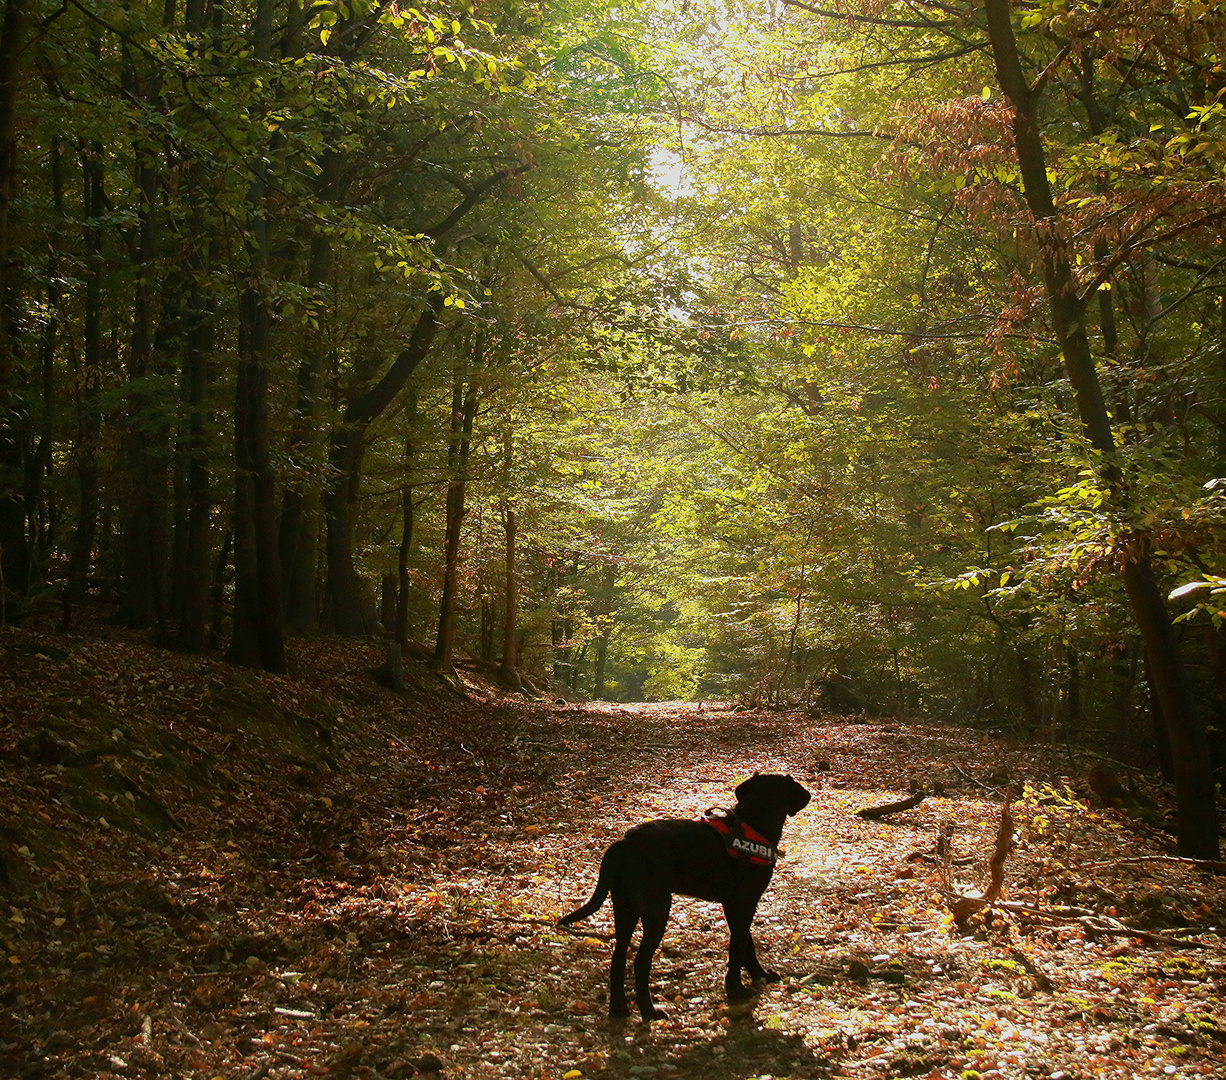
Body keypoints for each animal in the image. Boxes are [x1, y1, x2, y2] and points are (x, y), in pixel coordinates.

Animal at [559, 769, 809, 1015]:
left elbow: (747, 943)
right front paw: (736, 989)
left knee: (618, 959)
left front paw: (759, 976)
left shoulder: (733, 905)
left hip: (625, 909)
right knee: (640, 961)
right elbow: (739, 946)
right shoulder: (744, 902)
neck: (754, 821)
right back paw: (649, 1012)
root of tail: (622, 843)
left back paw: (619, 1009)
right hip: (656, 909)